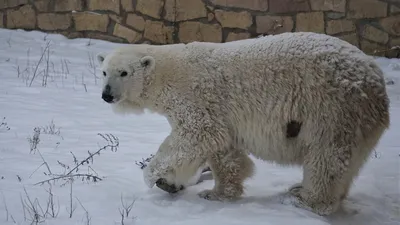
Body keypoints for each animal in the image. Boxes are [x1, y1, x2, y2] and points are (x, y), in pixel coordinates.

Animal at [97, 32, 390, 216]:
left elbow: (195, 135)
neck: (169, 72)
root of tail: (375, 78)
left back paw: (305, 198)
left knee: (326, 157)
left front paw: (155, 177)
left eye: (124, 72)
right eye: (104, 71)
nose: (106, 95)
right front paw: (217, 192)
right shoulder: (220, 111)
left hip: (333, 108)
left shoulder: (196, 97)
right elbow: (223, 148)